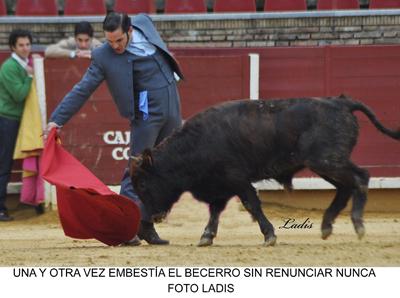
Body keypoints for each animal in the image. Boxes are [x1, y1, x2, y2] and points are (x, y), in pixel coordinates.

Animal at [130, 95, 398, 247]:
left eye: (143, 184)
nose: (154, 216)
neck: (196, 143)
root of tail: (341, 102)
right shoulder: (219, 185)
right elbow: (215, 211)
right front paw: (206, 237)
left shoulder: (236, 179)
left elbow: (251, 204)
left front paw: (269, 236)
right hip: (323, 164)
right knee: (345, 186)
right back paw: (326, 227)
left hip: (327, 161)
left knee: (360, 177)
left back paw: (358, 225)